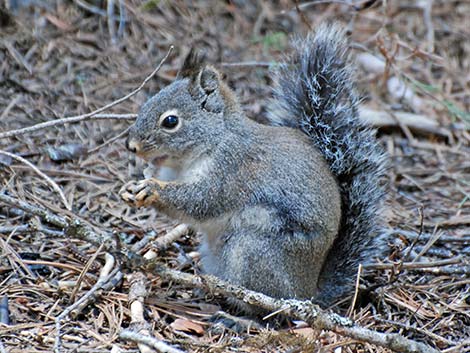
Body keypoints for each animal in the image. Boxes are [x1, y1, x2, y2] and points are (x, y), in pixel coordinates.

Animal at [120, 23, 390, 306]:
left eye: (171, 121)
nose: (131, 146)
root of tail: (308, 292)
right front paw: (131, 187)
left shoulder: (231, 169)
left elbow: (202, 200)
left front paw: (152, 189)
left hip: (252, 251)